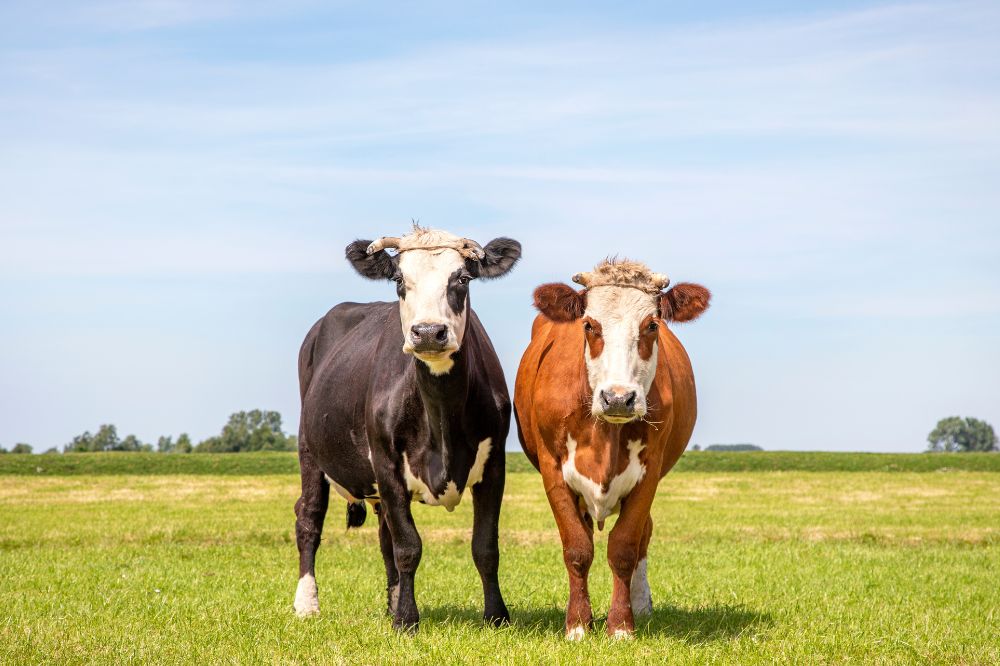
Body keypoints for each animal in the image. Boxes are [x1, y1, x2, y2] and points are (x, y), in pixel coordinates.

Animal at [292, 226, 520, 632]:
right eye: (399, 280)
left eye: (462, 279)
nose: (428, 332)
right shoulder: (386, 464)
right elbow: (408, 547)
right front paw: (407, 620)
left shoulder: (494, 466)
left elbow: (485, 546)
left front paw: (496, 615)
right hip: (309, 448)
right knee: (309, 517)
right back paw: (307, 603)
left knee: (384, 536)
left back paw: (391, 602)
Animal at [516, 256, 712, 636]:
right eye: (590, 325)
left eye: (651, 325)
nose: (619, 398)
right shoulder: (553, 470)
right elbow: (577, 548)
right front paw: (578, 625)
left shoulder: (649, 473)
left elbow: (624, 547)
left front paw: (621, 625)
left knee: (644, 535)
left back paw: (641, 604)